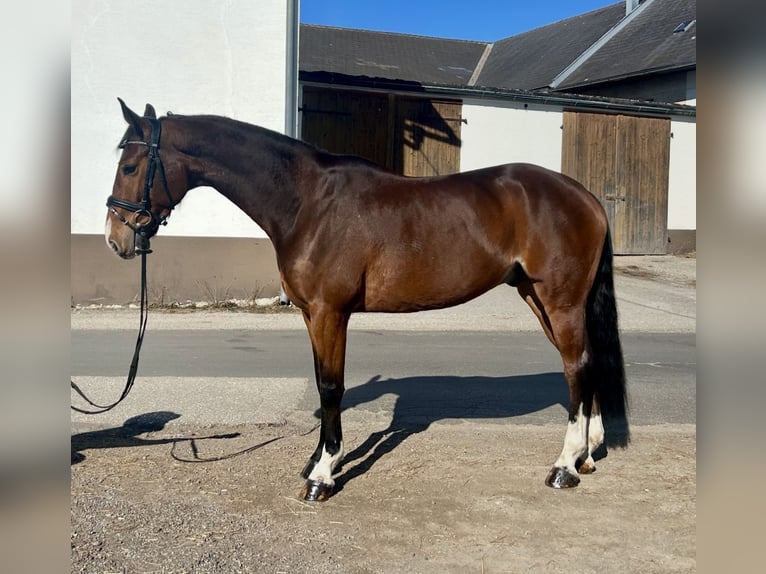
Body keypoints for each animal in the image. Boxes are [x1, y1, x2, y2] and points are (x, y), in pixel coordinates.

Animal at [106, 101, 632, 502]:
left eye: (130, 167)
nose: (116, 239)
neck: (307, 202)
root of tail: (586, 197)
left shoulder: (329, 313)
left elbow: (330, 387)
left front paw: (322, 475)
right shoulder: (311, 315)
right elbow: (323, 383)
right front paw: (317, 460)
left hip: (558, 301)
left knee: (576, 367)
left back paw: (564, 466)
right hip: (539, 298)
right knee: (586, 364)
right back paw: (586, 455)